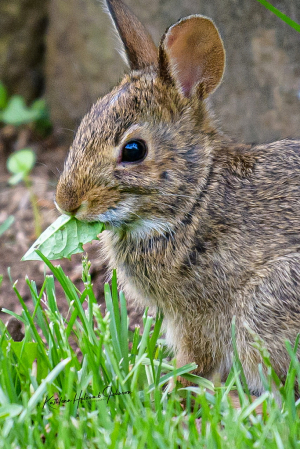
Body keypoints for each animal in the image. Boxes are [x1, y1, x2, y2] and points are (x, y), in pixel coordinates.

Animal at [55, 0, 300, 394]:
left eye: (134, 150)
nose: (66, 201)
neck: (194, 200)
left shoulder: (197, 316)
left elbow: (195, 360)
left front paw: (172, 389)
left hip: (265, 305)